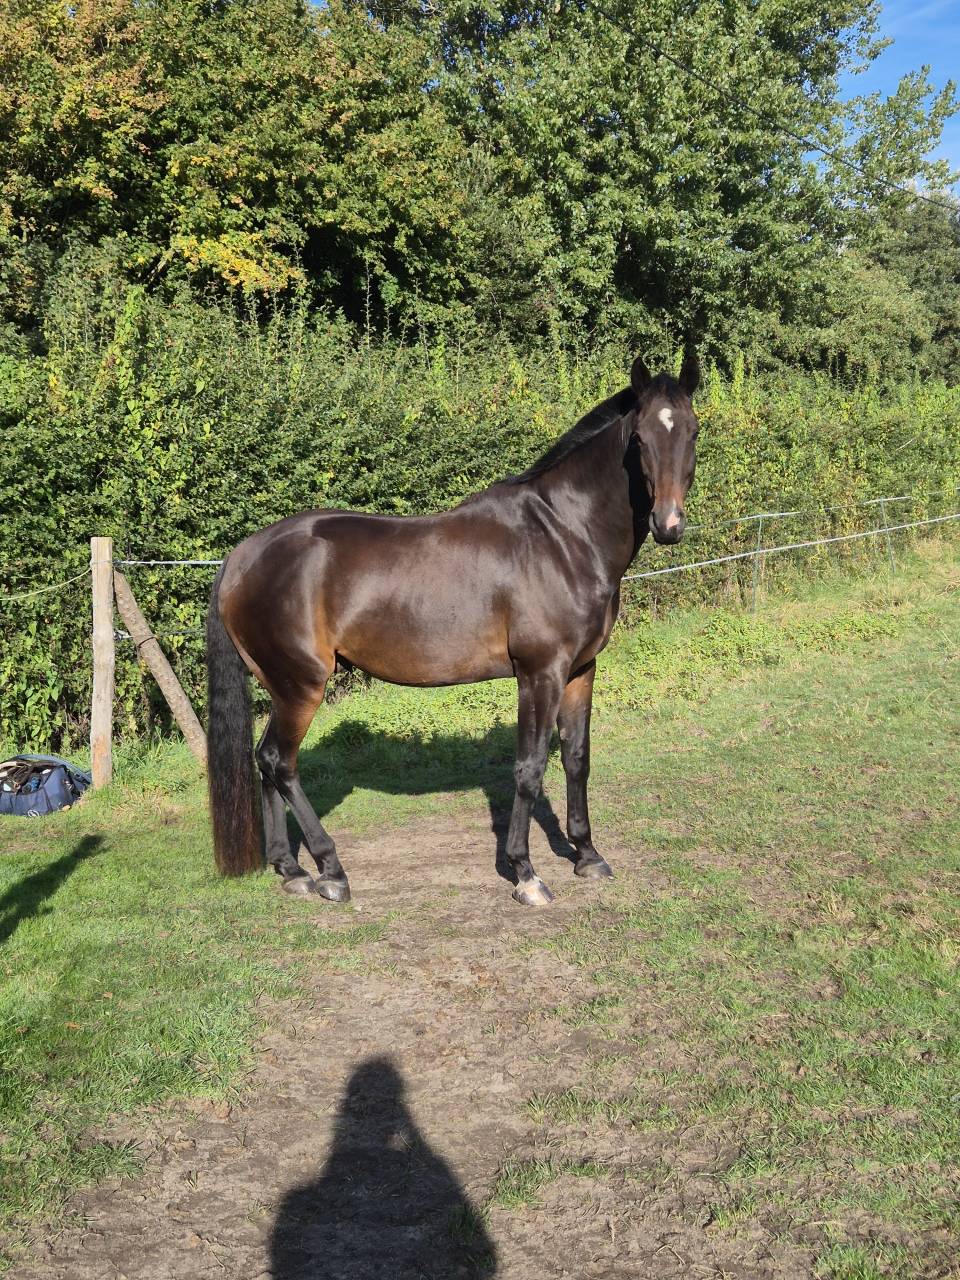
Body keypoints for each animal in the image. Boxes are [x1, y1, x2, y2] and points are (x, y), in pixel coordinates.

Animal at [205, 354, 700, 907]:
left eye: (693, 432)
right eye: (638, 438)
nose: (668, 524)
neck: (563, 536)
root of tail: (242, 556)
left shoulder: (581, 670)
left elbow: (576, 757)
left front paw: (588, 856)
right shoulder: (540, 673)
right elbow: (529, 768)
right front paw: (525, 873)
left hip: (279, 687)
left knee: (264, 763)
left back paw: (291, 869)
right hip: (302, 686)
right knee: (280, 762)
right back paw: (331, 870)